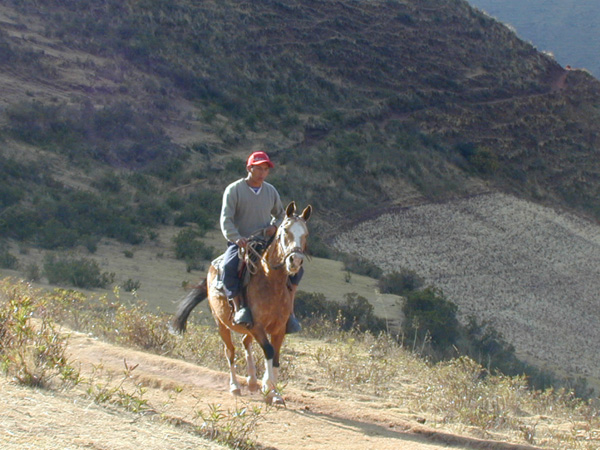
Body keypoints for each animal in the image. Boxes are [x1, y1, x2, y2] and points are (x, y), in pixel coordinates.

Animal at [171, 200, 312, 404]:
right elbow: (269, 351)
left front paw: (274, 392)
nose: (295, 261)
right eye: (285, 231)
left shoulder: (279, 329)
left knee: (246, 343)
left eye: (306, 234)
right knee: (230, 351)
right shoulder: (257, 326)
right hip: (221, 324)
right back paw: (235, 386)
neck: (271, 283)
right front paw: (268, 389)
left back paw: (252, 381)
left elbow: (276, 357)